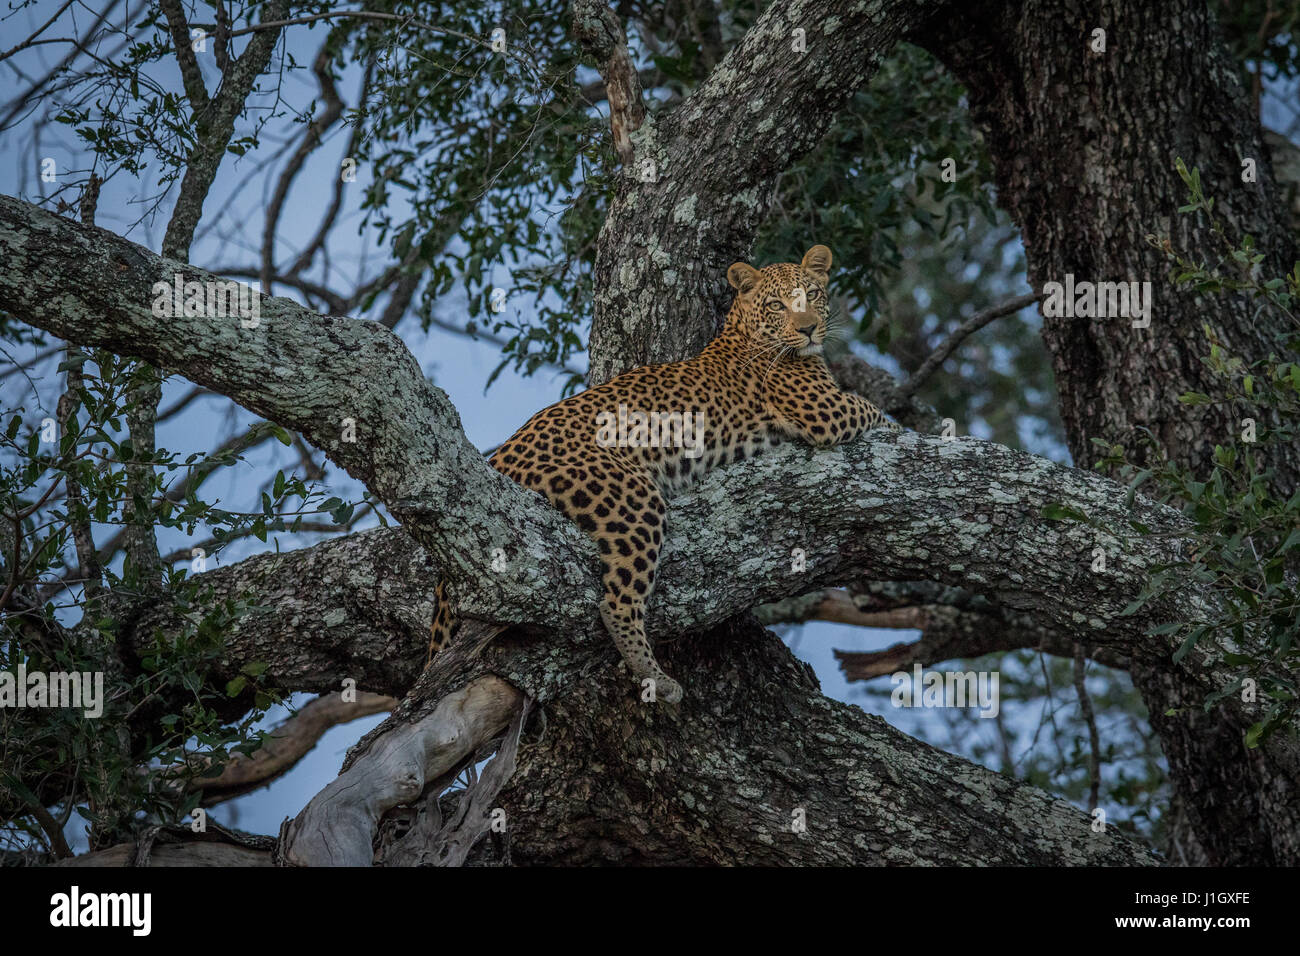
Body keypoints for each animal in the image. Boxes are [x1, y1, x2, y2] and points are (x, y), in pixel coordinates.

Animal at [427, 244, 900, 703]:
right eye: (777, 305)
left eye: (813, 295)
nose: (807, 329)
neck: (744, 331)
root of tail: (499, 457)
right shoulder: (826, 411)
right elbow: (874, 409)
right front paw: (906, 428)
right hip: (633, 499)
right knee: (615, 603)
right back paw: (657, 678)